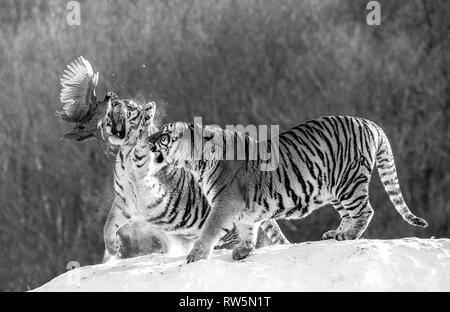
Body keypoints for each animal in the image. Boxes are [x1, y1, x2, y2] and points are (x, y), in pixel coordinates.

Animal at [148, 116, 428, 262]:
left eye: (165, 135)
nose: (149, 140)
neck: (197, 162)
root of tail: (370, 123)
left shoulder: (225, 203)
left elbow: (209, 229)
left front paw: (195, 256)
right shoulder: (243, 210)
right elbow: (247, 229)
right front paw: (243, 251)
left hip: (348, 182)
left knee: (365, 211)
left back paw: (348, 236)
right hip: (335, 189)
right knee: (350, 213)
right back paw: (336, 233)